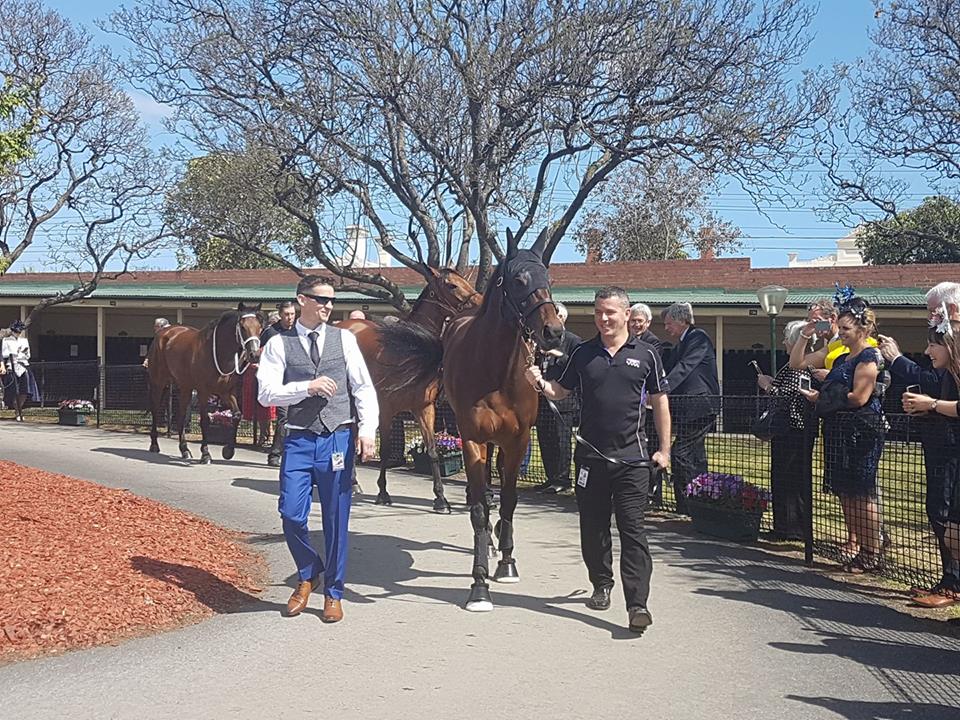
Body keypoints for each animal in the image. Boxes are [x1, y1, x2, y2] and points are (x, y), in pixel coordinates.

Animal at [145, 302, 262, 462]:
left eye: (260, 327)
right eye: (243, 327)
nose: (254, 355)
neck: (217, 353)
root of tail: (163, 332)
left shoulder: (226, 392)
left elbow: (237, 415)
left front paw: (228, 450)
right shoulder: (203, 392)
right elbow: (205, 420)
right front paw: (206, 453)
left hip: (185, 387)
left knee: (181, 415)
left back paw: (184, 450)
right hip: (159, 382)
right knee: (155, 410)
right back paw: (154, 445)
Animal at [340, 268, 488, 512]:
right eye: (452, 285)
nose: (480, 302)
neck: (408, 348)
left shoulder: (424, 408)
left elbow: (433, 450)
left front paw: (441, 499)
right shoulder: (386, 410)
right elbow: (385, 450)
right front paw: (383, 492)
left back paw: (352, 482)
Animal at [382, 232, 564, 612]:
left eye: (549, 279)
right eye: (518, 280)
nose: (554, 332)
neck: (496, 372)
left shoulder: (518, 440)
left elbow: (508, 502)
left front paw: (507, 562)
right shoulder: (471, 439)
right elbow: (479, 509)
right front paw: (479, 585)